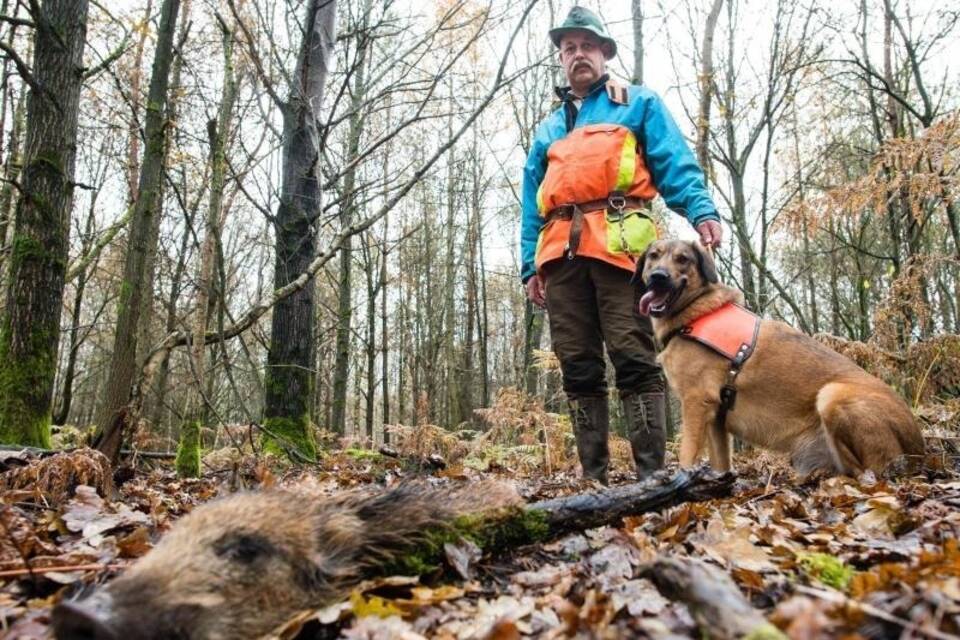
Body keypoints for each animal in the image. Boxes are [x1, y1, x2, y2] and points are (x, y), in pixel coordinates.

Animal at [636, 240, 924, 476]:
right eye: (653, 256)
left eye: (683, 259)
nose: (658, 277)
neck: (695, 314)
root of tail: (919, 447)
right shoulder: (716, 419)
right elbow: (721, 463)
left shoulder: (696, 403)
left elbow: (687, 454)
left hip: (831, 395)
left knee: (865, 471)